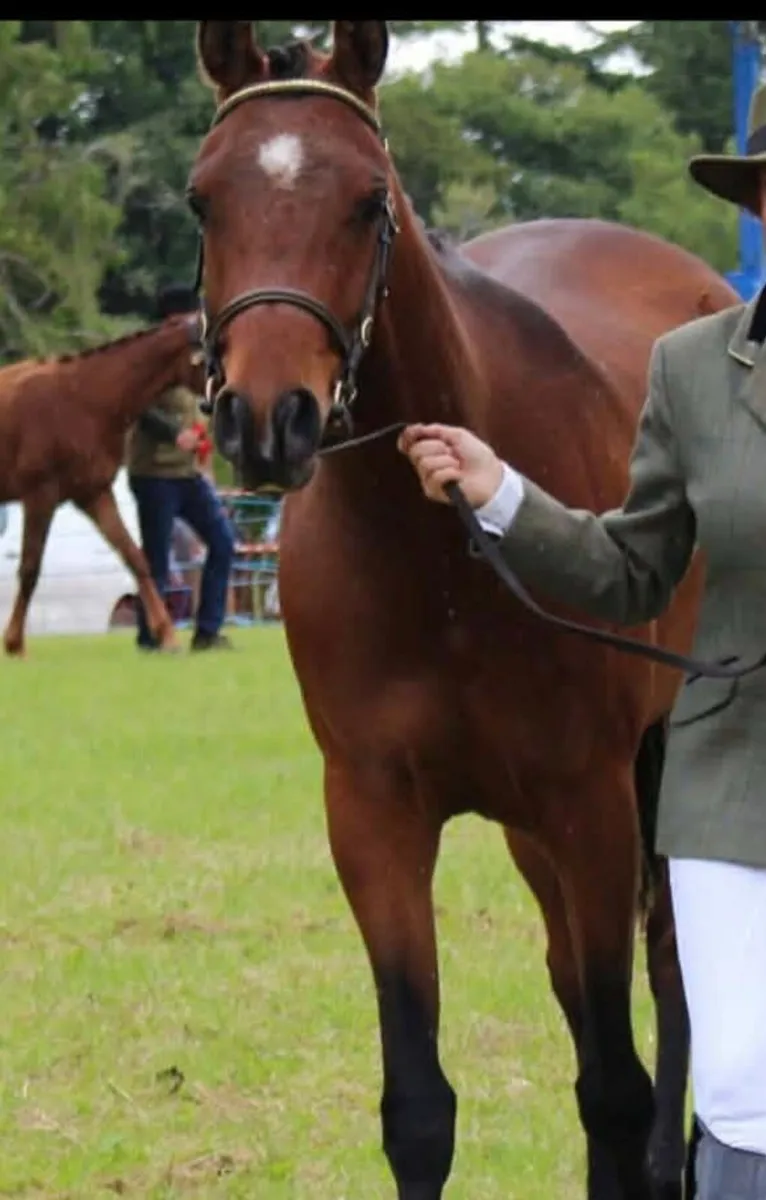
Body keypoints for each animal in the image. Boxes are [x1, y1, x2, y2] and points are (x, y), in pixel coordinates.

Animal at [0, 313, 204, 656]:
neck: (82, 400)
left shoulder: (93, 494)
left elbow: (135, 557)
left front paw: (167, 635)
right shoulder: (40, 495)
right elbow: (29, 568)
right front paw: (15, 643)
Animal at [189, 21, 738, 1198]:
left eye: (368, 201)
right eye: (205, 199)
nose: (265, 420)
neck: (435, 563)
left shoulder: (589, 807)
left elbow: (613, 1086)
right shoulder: (374, 816)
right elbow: (419, 1108)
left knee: (673, 976)